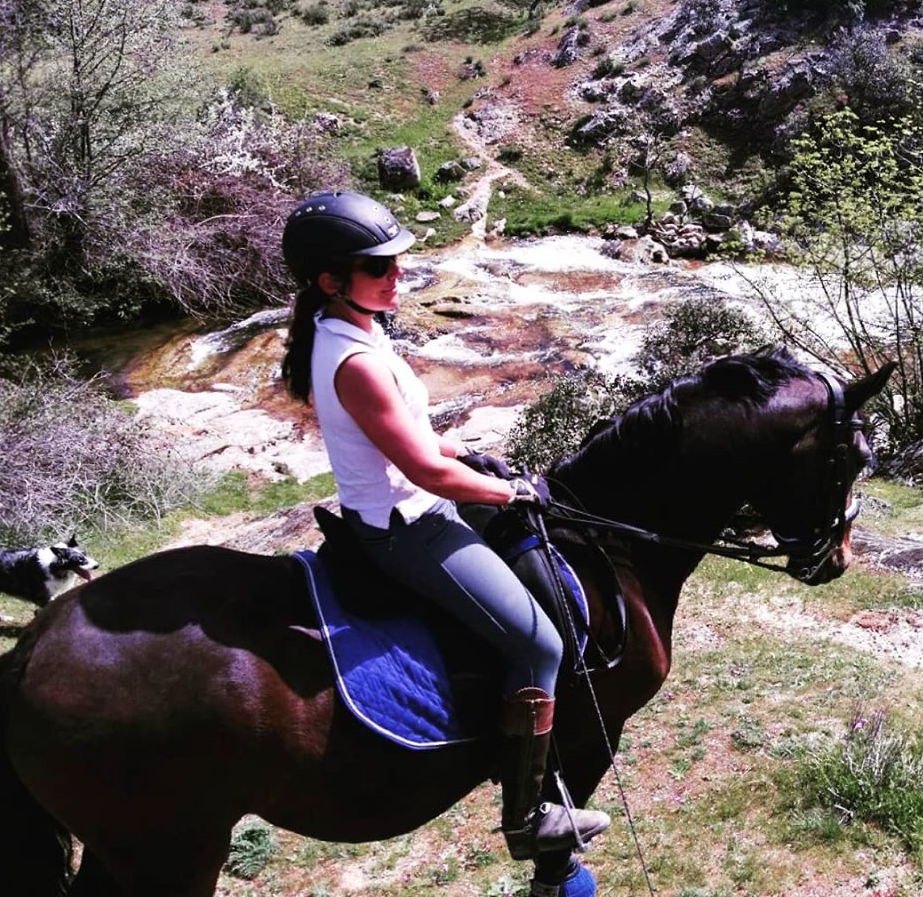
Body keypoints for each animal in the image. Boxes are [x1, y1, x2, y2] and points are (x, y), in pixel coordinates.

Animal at [0, 348, 895, 897]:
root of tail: (35, 644)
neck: (605, 544)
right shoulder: (586, 738)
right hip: (169, 850)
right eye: (849, 457)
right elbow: (555, 854)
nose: (836, 556)